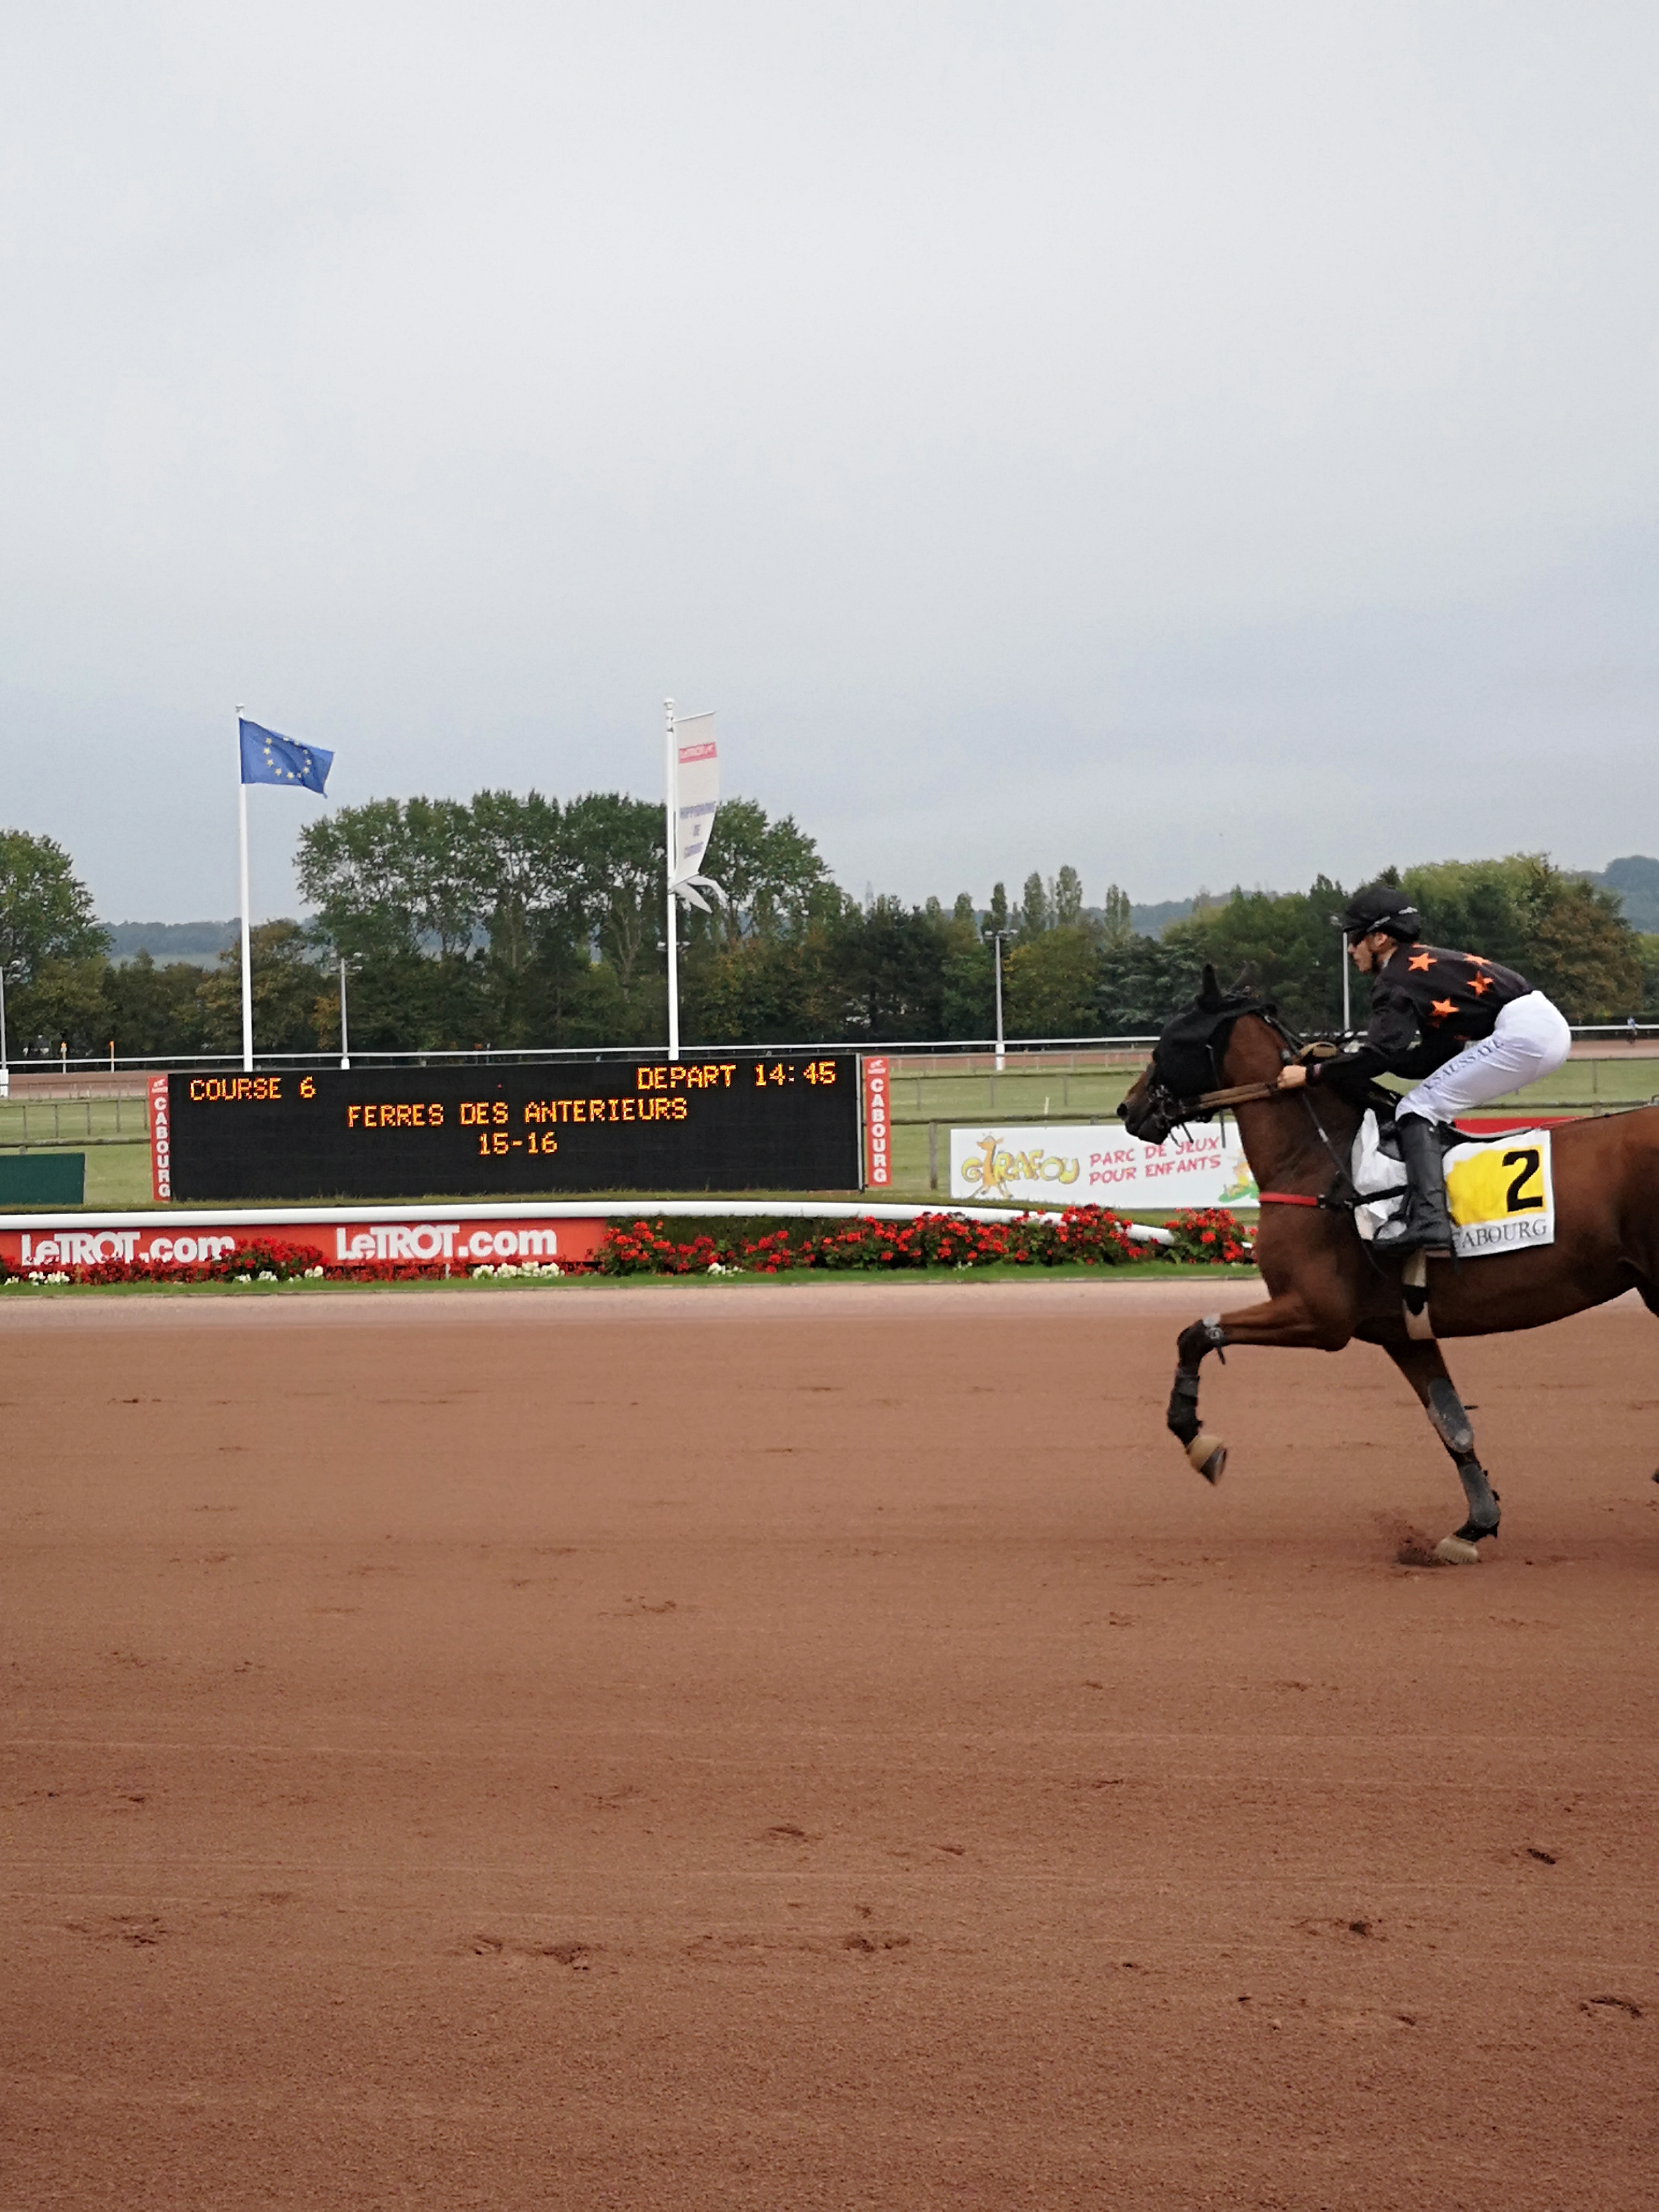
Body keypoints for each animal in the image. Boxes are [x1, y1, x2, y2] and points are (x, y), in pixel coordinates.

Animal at [1119, 967, 1659, 1561]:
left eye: (1170, 1041)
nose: (1129, 1109)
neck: (1316, 1162)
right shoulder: (1404, 1330)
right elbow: (1451, 1423)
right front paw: (1474, 1526)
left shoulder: (1318, 1315)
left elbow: (1196, 1333)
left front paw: (1198, 1439)